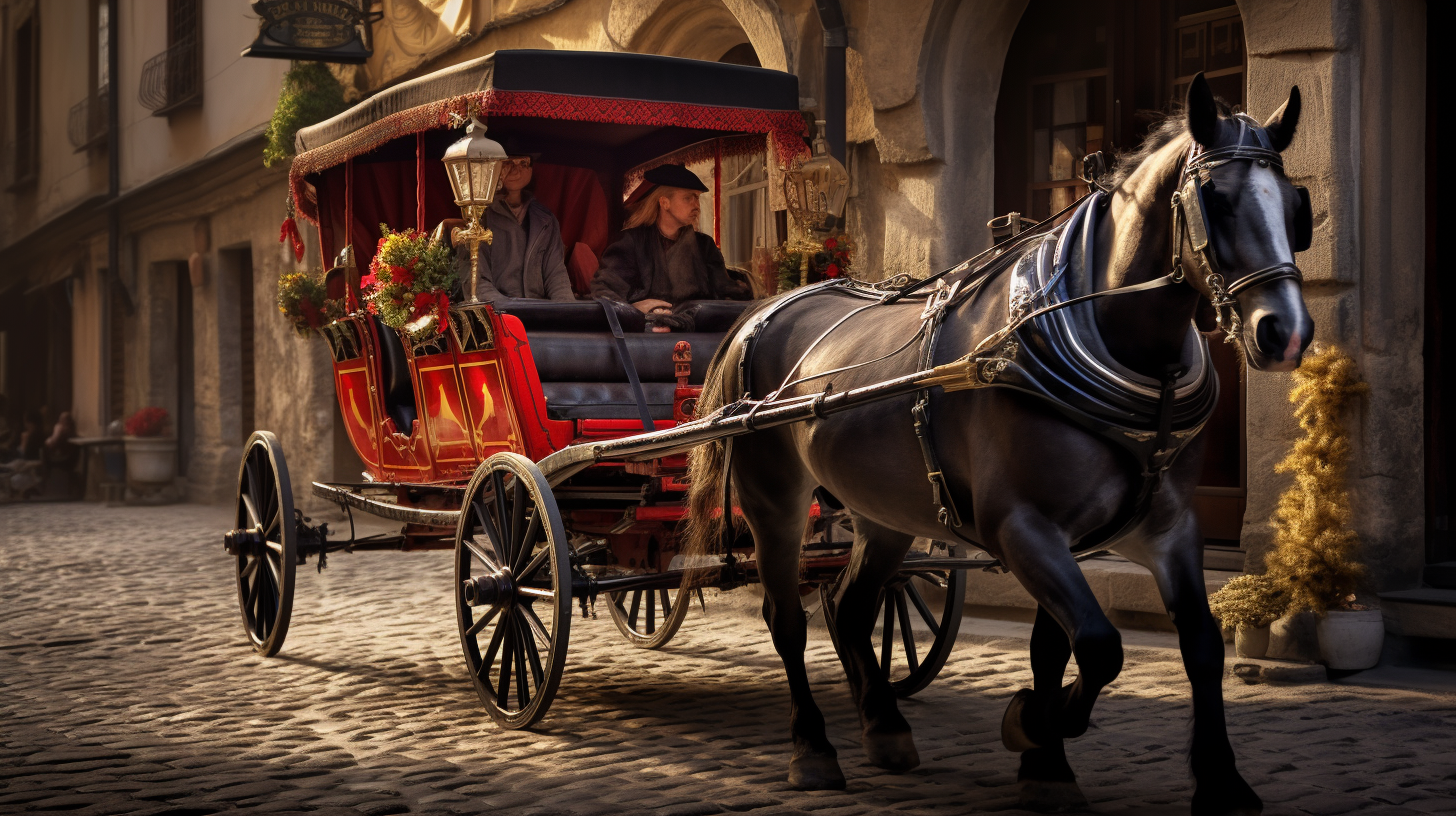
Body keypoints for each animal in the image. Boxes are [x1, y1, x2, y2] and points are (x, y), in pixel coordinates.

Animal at [681, 73, 1310, 810]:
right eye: (1217, 199)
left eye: (1295, 206)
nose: (1285, 332)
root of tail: (765, 310)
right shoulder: (1023, 526)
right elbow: (1098, 644)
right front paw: (1035, 725)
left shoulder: (1163, 527)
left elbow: (1183, 645)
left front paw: (1212, 777)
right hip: (773, 500)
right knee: (787, 619)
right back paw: (812, 748)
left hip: (884, 509)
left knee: (852, 607)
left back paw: (885, 727)